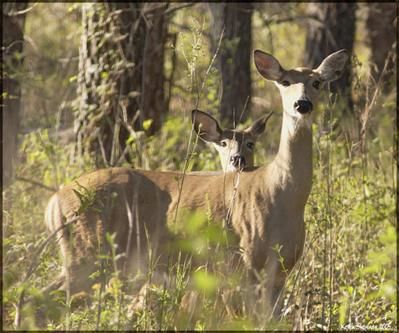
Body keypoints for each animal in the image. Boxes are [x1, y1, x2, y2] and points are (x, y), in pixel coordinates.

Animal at [43, 48, 348, 316]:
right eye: (285, 82)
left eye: (317, 82)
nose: (302, 104)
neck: (281, 191)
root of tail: (54, 202)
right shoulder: (242, 260)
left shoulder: (281, 270)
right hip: (86, 250)